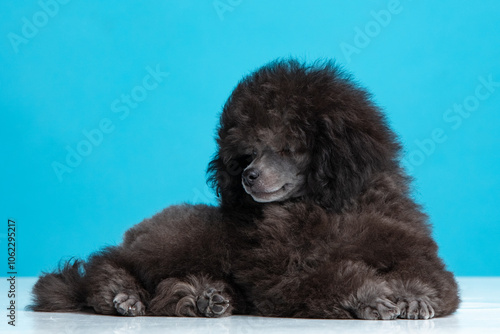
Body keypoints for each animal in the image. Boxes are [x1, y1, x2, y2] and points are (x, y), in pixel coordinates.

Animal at [31, 58, 458, 320]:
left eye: (286, 147)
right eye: (249, 152)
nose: (248, 176)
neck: (324, 206)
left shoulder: (413, 251)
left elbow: (430, 278)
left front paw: (413, 297)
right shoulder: (282, 276)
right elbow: (333, 278)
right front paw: (371, 296)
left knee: (168, 290)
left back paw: (203, 297)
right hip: (184, 240)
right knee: (106, 263)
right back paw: (123, 295)